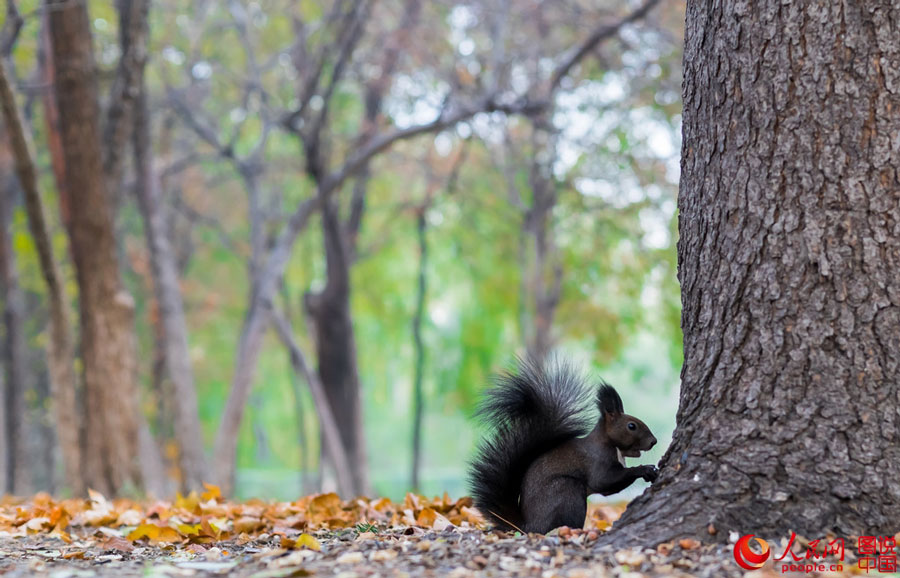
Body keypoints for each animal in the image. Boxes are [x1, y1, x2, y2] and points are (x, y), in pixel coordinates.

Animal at [468, 357, 659, 534]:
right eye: (631, 426)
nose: (653, 441)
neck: (612, 446)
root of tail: (527, 527)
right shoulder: (597, 461)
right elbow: (604, 482)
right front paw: (644, 469)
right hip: (567, 491)